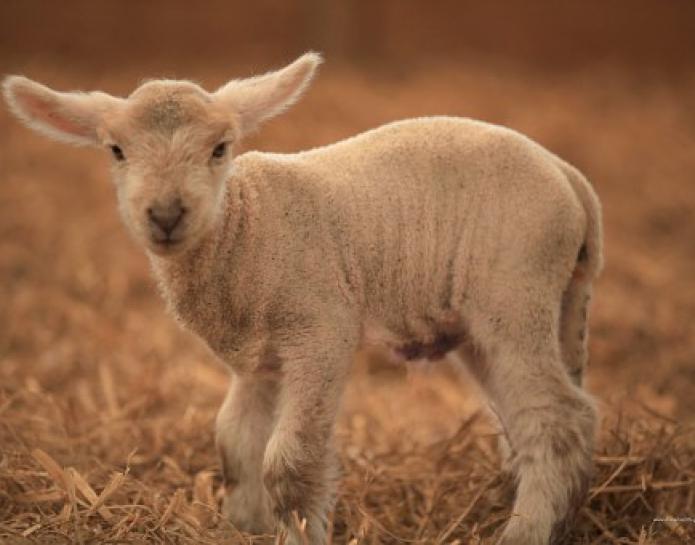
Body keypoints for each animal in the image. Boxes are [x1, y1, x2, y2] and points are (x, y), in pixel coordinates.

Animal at [3, 52, 603, 545]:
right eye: (116, 150)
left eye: (219, 149)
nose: (167, 215)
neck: (246, 227)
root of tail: (570, 177)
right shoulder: (256, 359)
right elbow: (235, 444)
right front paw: (241, 526)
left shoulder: (320, 332)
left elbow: (288, 463)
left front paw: (294, 530)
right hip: (509, 316)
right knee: (532, 419)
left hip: (515, 290)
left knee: (557, 420)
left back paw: (524, 531)